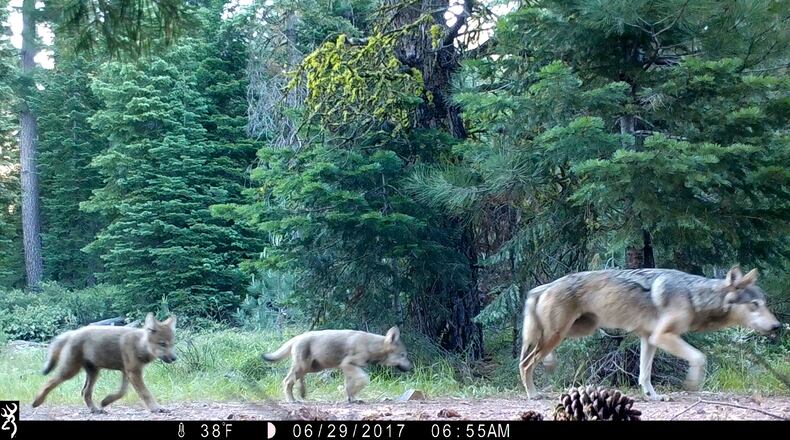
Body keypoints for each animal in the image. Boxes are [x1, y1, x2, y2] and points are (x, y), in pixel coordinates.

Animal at [32, 313, 177, 413]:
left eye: (172, 344)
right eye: (162, 344)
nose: (175, 358)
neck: (139, 344)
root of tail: (72, 332)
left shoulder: (127, 372)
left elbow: (122, 392)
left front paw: (106, 401)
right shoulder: (133, 372)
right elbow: (145, 393)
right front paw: (157, 408)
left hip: (94, 373)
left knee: (85, 392)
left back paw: (96, 410)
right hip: (70, 371)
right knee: (49, 382)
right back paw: (36, 402)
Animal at [263, 327, 413, 403]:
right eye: (403, 355)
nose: (411, 367)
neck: (371, 346)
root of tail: (297, 337)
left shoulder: (348, 368)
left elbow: (349, 385)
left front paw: (352, 398)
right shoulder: (347, 364)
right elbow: (364, 379)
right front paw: (352, 397)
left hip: (311, 368)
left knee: (296, 380)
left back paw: (302, 394)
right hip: (304, 367)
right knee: (287, 381)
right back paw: (292, 400)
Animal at [519, 266, 781, 400]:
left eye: (765, 304)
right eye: (755, 305)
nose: (777, 326)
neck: (694, 296)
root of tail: (543, 286)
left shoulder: (649, 338)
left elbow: (644, 374)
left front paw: (652, 396)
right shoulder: (662, 336)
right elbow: (700, 357)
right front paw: (692, 384)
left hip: (578, 330)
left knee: (536, 355)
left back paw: (549, 364)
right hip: (559, 333)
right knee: (526, 363)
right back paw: (533, 394)